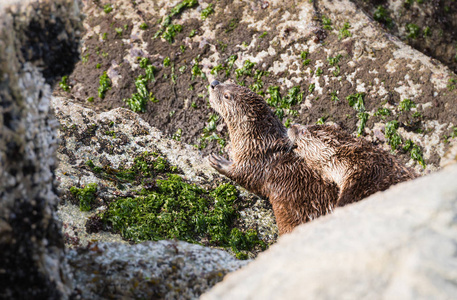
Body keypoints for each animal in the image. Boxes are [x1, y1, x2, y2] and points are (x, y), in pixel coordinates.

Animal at [208, 80, 416, 234]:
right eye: (230, 82)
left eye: (227, 95)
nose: (214, 83)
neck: (256, 142)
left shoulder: (256, 163)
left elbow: (243, 177)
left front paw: (218, 161)